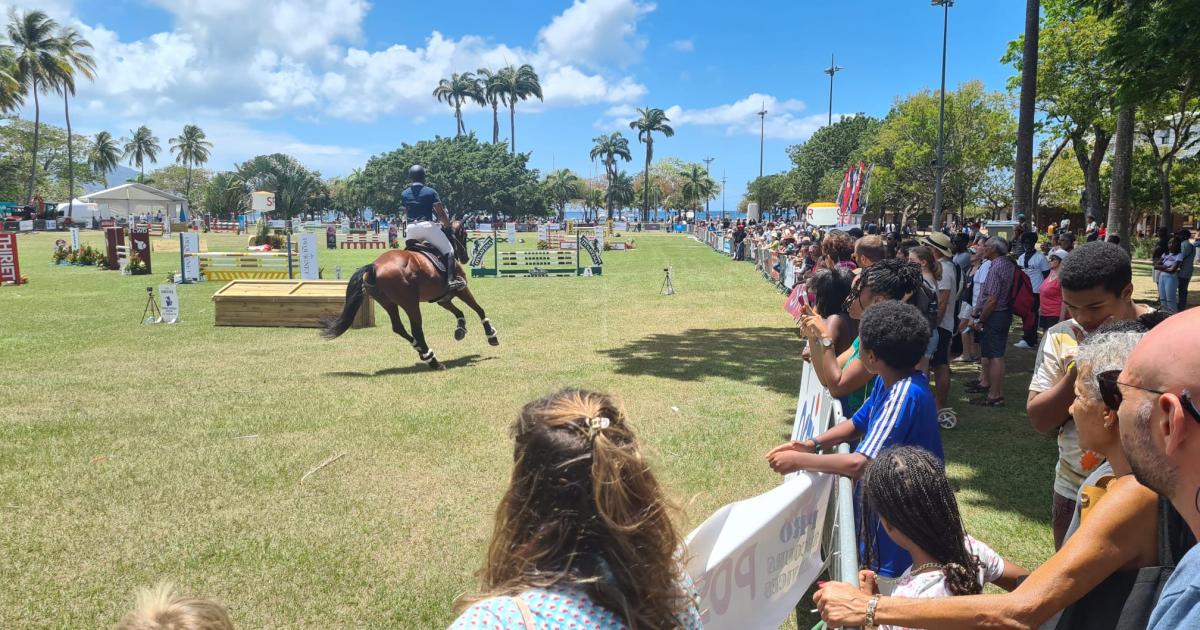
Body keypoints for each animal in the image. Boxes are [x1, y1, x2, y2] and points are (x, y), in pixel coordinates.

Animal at [319, 219, 496, 369]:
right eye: (464, 235)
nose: (465, 257)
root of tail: (374, 266)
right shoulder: (461, 289)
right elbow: (479, 309)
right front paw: (491, 335)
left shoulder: (442, 298)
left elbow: (459, 312)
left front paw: (460, 329)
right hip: (410, 303)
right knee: (416, 329)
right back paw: (434, 361)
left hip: (388, 303)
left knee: (399, 328)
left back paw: (423, 351)